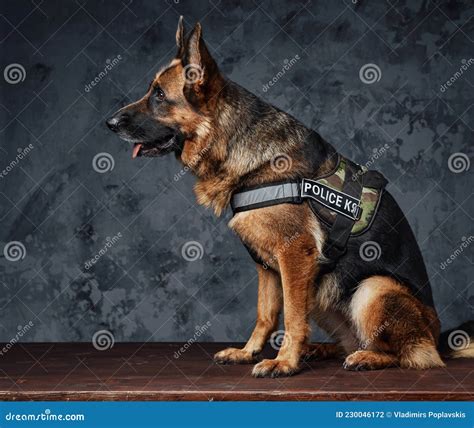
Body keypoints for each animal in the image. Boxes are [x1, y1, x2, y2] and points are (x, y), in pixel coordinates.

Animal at [105, 17, 472, 378]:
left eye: (158, 95)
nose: (108, 123)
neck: (236, 144)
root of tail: (436, 335)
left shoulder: (295, 254)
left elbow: (293, 317)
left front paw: (284, 362)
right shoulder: (267, 266)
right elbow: (265, 315)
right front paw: (248, 352)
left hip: (372, 288)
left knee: (411, 354)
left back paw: (368, 357)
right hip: (323, 292)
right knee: (349, 342)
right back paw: (321, 350)